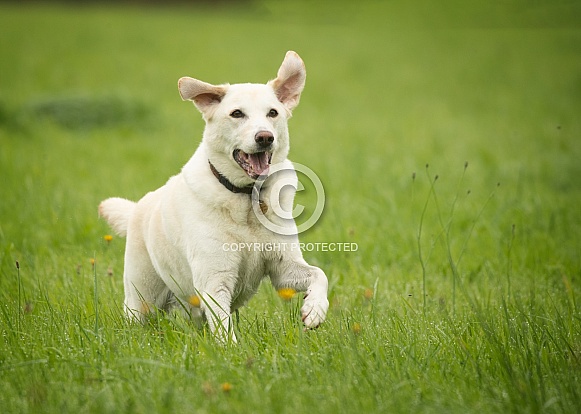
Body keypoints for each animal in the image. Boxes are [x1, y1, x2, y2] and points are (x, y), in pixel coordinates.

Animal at [97, 51, 328, 342]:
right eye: (237, 114)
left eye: (273, 113)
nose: (265, 137)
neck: (247, 197)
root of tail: (138, 207)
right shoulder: (214, 280)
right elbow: (225, 330)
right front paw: (233, 350)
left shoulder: (282, 268)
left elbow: (320, 274)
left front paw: (315, 310)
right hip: (141, 300)